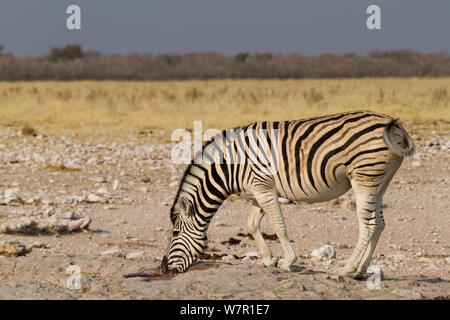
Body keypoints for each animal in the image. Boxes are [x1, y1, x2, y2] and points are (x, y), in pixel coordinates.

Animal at [161, 111, 414, 278]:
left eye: (174, 233)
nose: (163, 269)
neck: (231, 167)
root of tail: (393, 124)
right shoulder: (258, 191)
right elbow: (252, 225)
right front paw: (268, 259)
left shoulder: (263, 187)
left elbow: (279, 225)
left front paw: (287, 262)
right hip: (380, 181)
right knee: (379, 223)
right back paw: (362, 270)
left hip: (364, 178)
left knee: (369, 225)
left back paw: (349, 268)